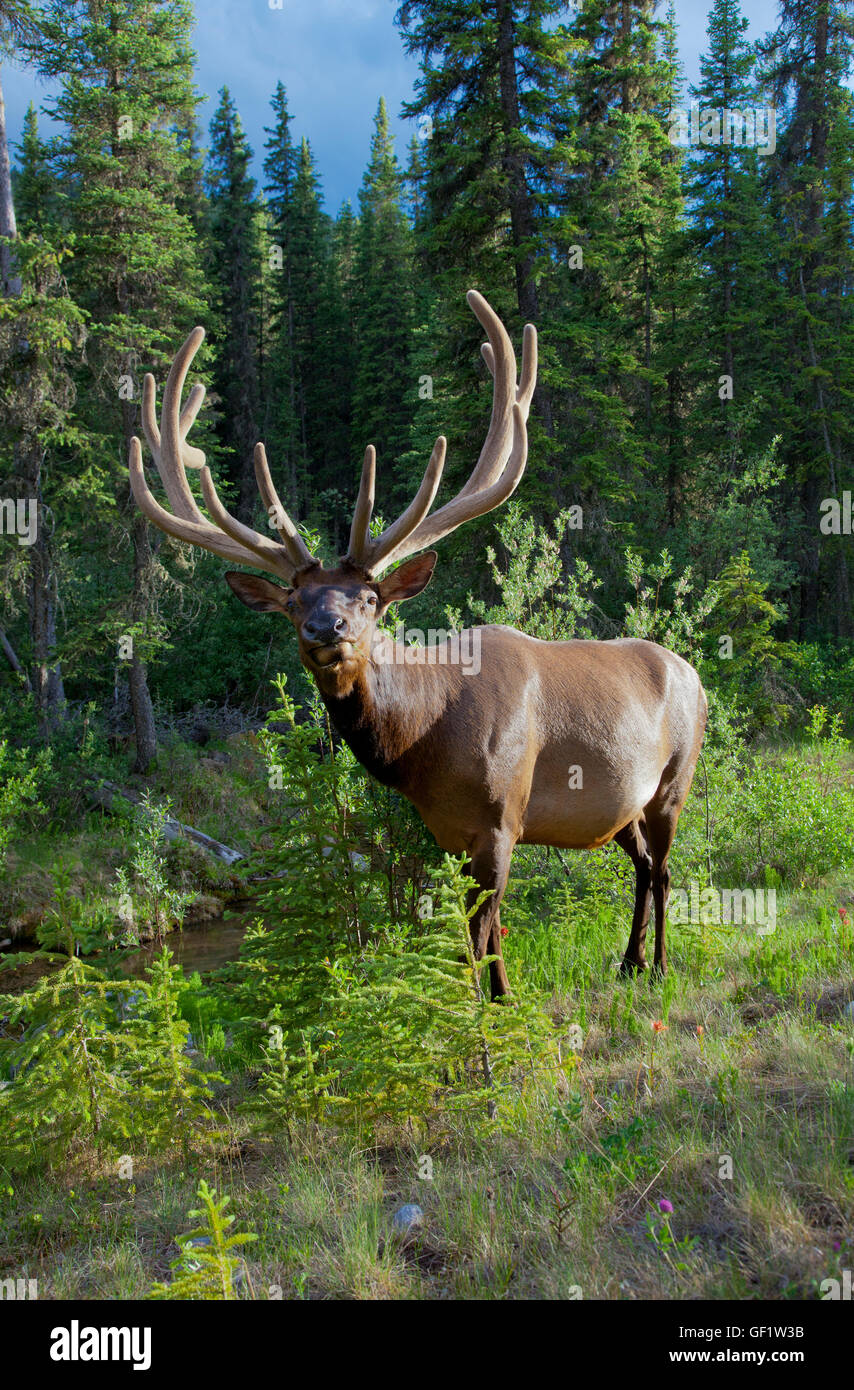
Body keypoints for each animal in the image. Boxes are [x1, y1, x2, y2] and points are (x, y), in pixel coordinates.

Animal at [130, 290, 709, 1000]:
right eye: (293, 603)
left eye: (369, 599)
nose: (326, 629)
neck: (425, 741)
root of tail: (695, 674)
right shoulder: (448, 833)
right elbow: (476, 934)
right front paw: (486, 1005)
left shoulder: (502, 818)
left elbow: (483, 931)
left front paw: (490, 1005)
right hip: (622, 807)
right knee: (643, 867)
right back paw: (628, 963)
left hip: (673, 781)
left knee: (664, 870)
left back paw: (659, 967)